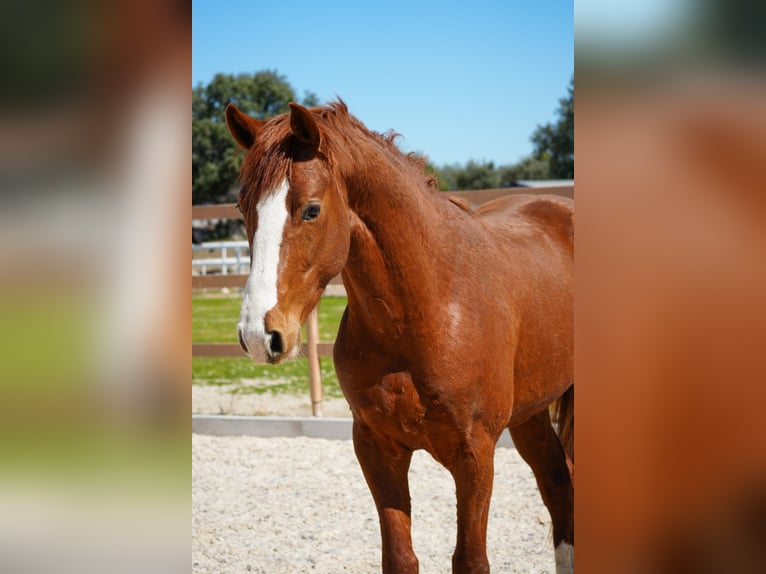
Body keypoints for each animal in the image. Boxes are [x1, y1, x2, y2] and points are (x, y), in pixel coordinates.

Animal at [225, 100, 574, 574]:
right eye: (243, 206)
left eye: (311, 209)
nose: (260, 335)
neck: (429, 308)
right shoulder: (377, 447)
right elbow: (400, 557)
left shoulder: (475, 456)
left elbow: (470, 559)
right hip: (530, 415)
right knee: (558, 487)